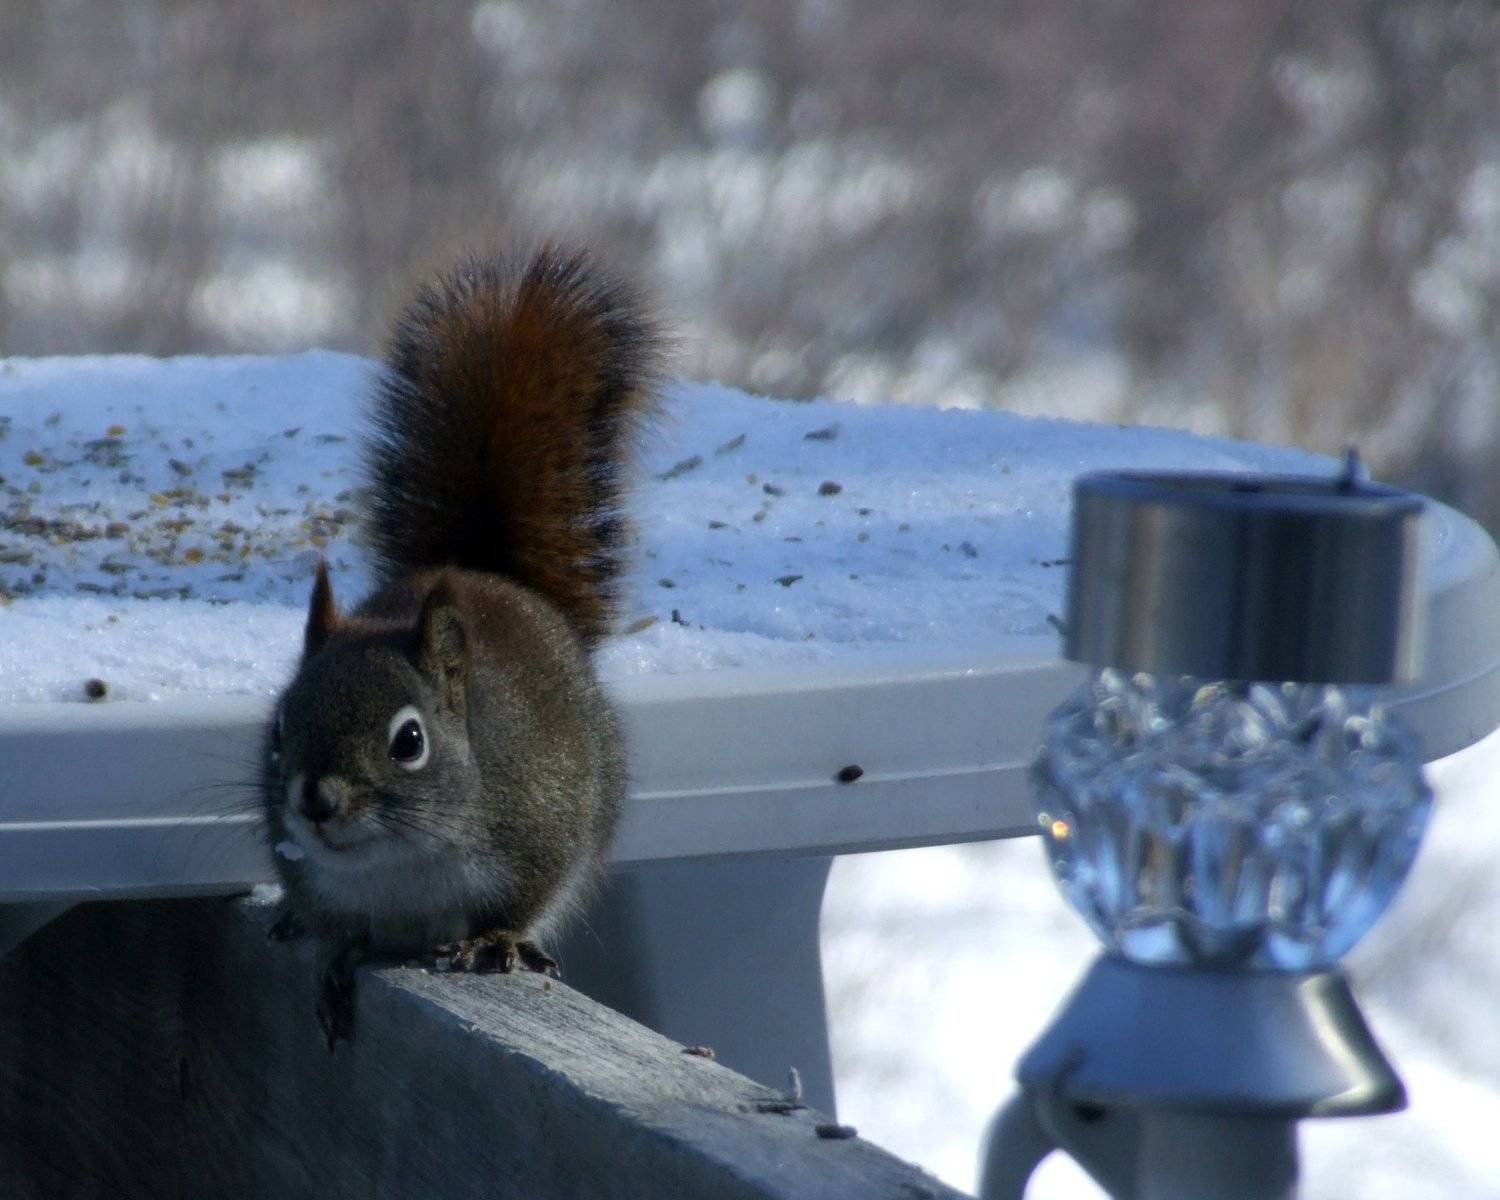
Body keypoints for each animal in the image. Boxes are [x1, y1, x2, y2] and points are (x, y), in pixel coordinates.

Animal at [261, 245, 662, 1047]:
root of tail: (490, 575)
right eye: (280, 727)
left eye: (409, 741)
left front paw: (496, 939)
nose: (316, 800)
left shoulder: (542, 820)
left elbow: (525, 897)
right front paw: (334, 952)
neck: (398, 862)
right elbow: (334, 924)